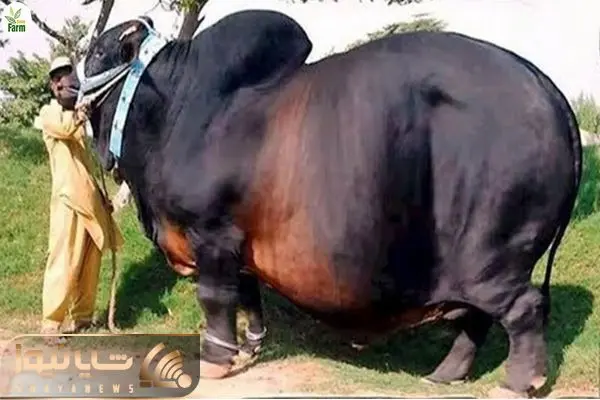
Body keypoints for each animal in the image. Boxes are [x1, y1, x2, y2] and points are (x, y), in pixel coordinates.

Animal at [79, 9, 582, 397]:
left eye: (99, 52)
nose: (63, 79)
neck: (174, 110)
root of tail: (547, 89)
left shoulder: (212, 234)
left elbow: (216, 299)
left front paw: (217, 360)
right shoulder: (240, 245)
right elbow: (248, 295)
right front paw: (252, 345)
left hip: (494, 255)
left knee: (522, 309)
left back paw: (516, 383)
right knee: (477, 319)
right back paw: (444, 374)